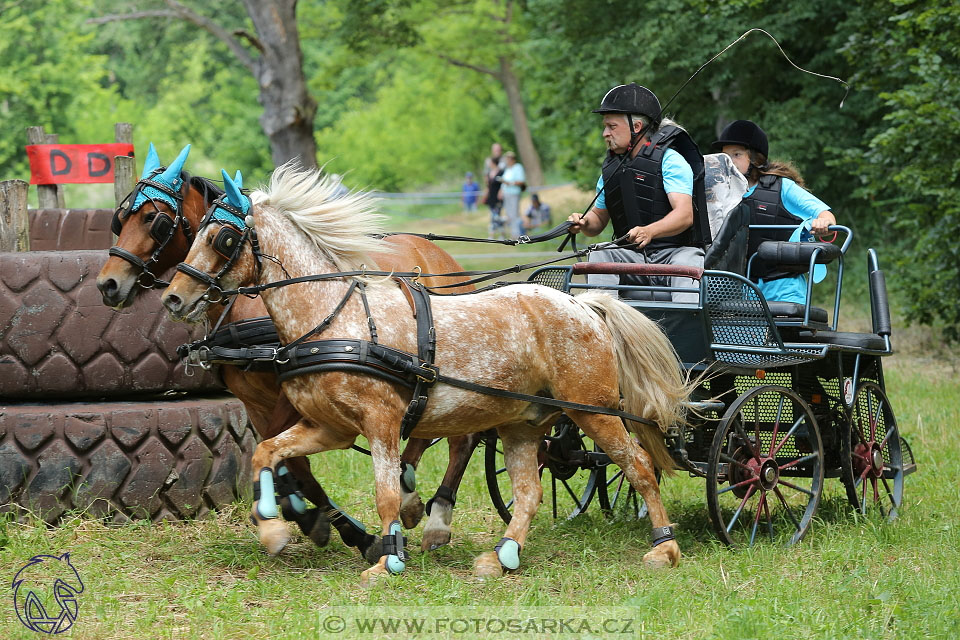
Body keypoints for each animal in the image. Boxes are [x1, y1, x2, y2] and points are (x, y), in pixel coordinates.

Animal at [97, 145, 480, 556]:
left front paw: (332, 525)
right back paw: (408, 494)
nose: (108, 284)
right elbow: (289, 464)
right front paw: (319, 519)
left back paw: (436, 517)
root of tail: (445, 258)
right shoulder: (256, 403)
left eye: (154, 220)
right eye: (120, 219)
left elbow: (289, 461)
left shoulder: (291, 393)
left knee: (463, 437)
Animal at [163, 162, 688, 584]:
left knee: (639, 465)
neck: (336, 318)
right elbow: (266, 453)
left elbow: (386, 494)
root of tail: (584, 305)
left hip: (594, 412)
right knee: (529, 491)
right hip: (522, 423)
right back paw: (501, 556)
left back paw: (663, 547)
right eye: (195, 232)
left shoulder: (381, 423)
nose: (172, 298)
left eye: (222, 238)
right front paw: (272, 525)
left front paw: (389, 558)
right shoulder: (329, 428)